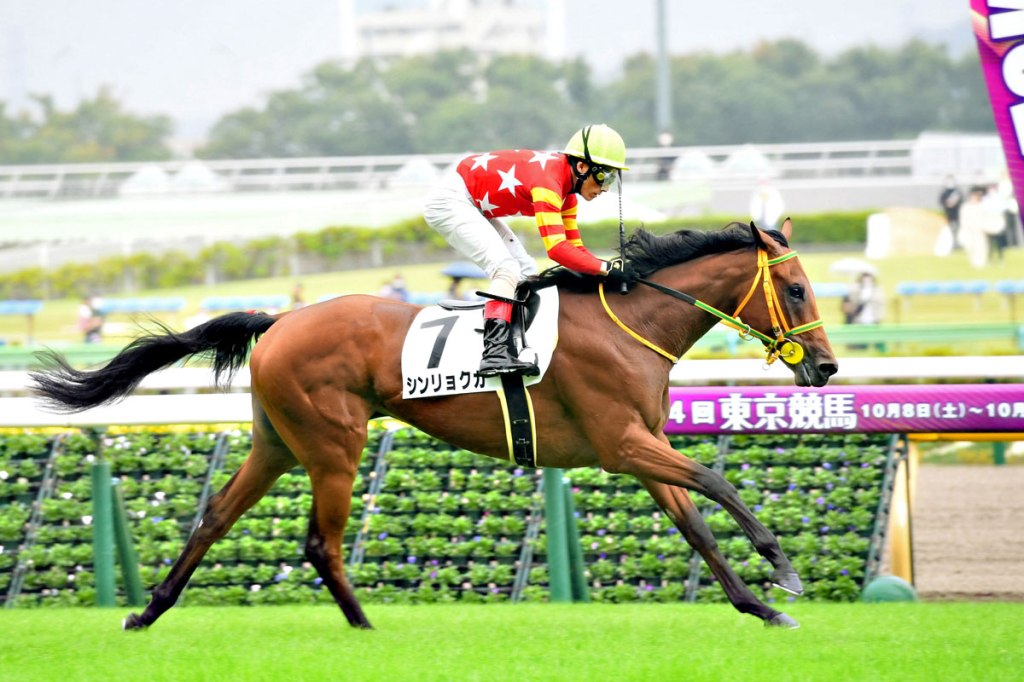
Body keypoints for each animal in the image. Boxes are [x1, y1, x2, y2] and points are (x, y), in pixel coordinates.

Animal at [31, 219, 837, 630]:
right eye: (797, 288)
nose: (827, 368)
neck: (628, 324)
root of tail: (281, 318)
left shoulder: (640, 447)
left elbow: (694, 523)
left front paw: (759, 605)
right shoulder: (622, 443)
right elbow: (715, 483)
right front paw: (784, 568)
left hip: (276, 444)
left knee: (214, 518)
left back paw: (147, 613)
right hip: (334, 444)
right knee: (319, 542)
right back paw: (364, 626)